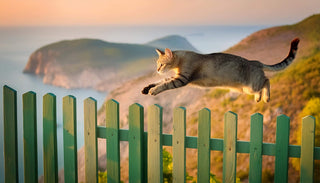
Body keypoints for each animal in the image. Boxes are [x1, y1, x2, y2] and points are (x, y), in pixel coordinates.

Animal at [141, 37, 298, 102]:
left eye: (161, 64)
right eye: (157, 64)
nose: (157, 69)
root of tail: (256, 62)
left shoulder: (182, 79)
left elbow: (165, 84)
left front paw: (153, 90)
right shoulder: (176, 76)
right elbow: (162, 80)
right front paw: (147, 87)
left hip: (252, 85)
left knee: (267, 81)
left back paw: (266, 97)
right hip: (247, 89)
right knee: (262, 85)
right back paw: (258, 98)